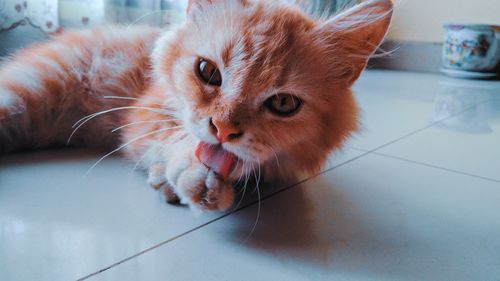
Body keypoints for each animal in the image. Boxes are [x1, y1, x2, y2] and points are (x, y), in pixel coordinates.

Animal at [0, 0, 392, 210]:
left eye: (283, 103)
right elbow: (175, 138)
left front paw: (175, 181)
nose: (223, 129)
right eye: (208, 72)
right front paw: (190, 173)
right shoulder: (147, 111)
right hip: (28, 89)